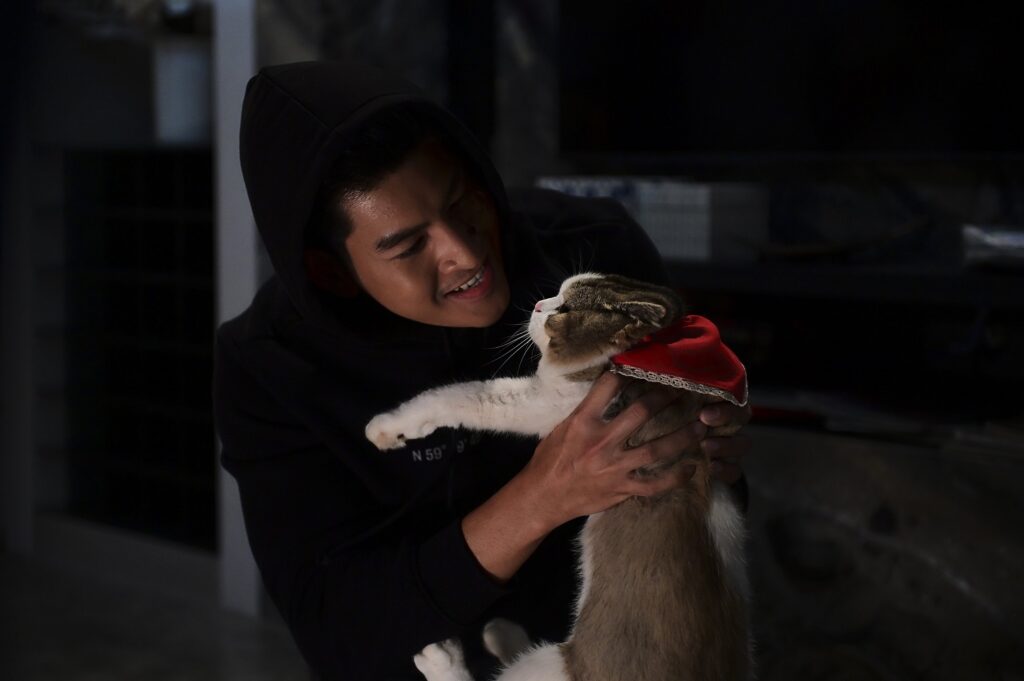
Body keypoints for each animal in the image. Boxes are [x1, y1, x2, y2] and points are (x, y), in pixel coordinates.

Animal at [365, 272, 752, 681]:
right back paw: (504, 634)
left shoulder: (551, 404)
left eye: (563, 309)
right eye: (557, 293)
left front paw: (388, 427)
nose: (537, 305)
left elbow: (461, 396)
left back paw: (445, 658)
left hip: (548, 668)